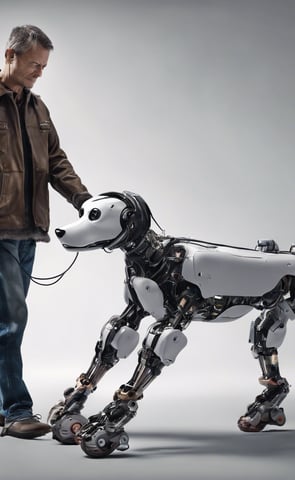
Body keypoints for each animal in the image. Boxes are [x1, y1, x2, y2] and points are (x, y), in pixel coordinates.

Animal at [48, 191, 295, 458]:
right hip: (278, 305)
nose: (60, 231)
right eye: (81, 211)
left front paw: (106, 426)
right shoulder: (136, 309)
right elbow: (114, 336)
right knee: (264, 336)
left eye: (96, 214)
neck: (156, 256)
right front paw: (68, 411)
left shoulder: (180, 311)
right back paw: (265, 407)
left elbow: (157, 345)